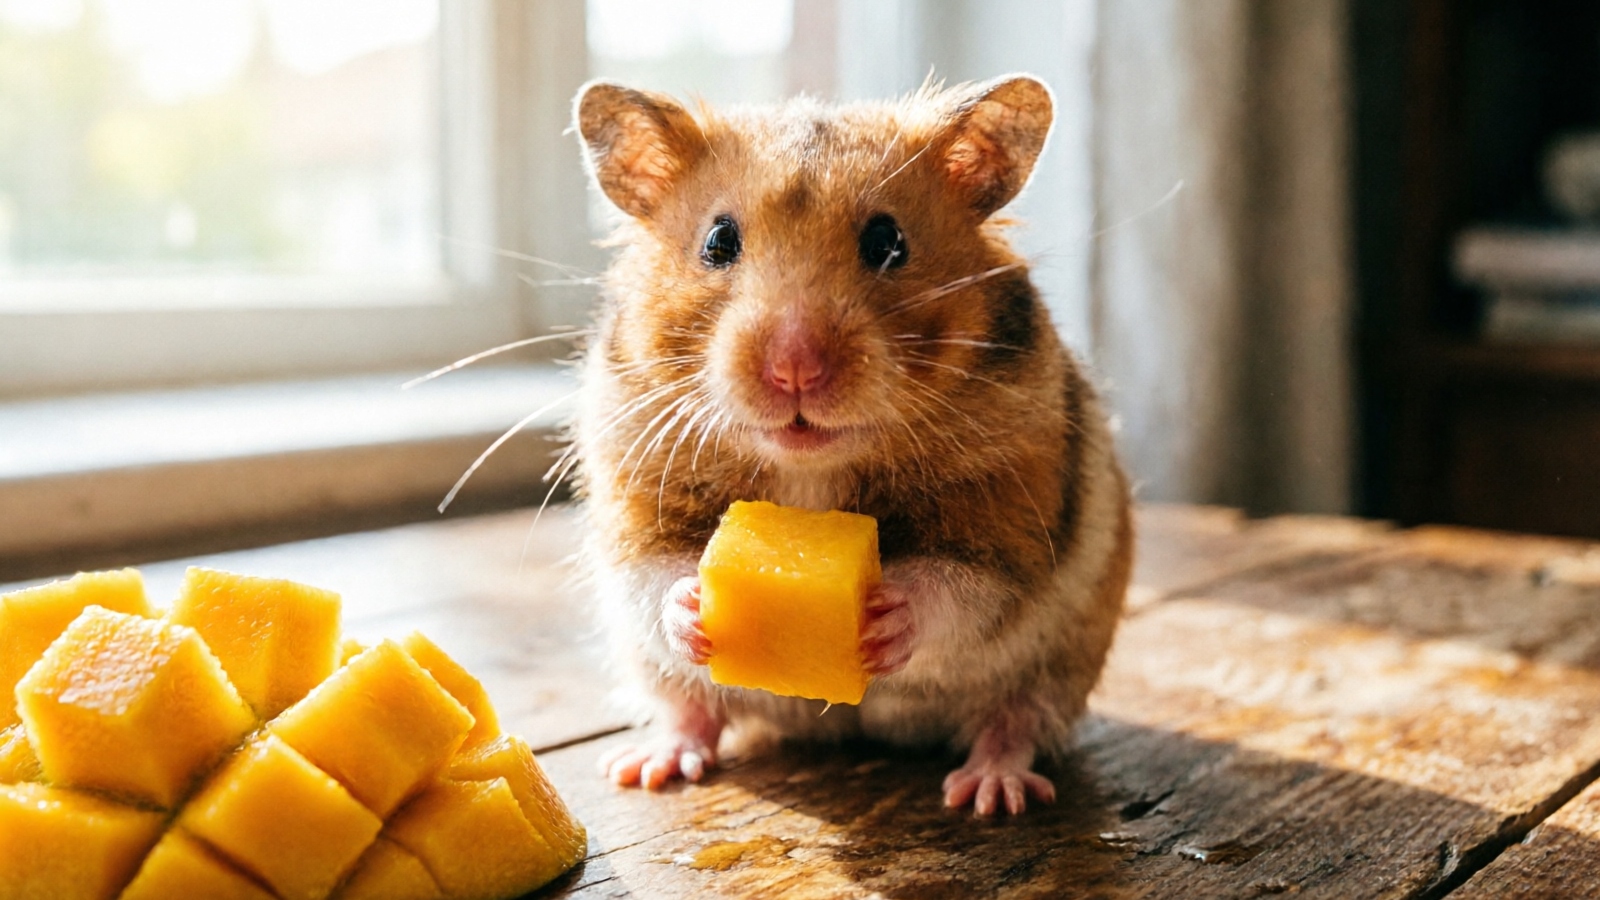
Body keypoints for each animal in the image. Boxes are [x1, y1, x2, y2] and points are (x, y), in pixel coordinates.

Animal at [570, 74, 1132, 817]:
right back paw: (649, 766)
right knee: (692, 709)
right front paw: (694, 607)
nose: (795, 369)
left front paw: (885, 616)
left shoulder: (1013, 513)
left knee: (1014, 721)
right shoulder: (634, 493)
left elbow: (964, 584)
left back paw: (991, 792)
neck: (809, 466)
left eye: (888, 241)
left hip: (1062, 661)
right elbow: (654, 573)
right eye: (718, 240)